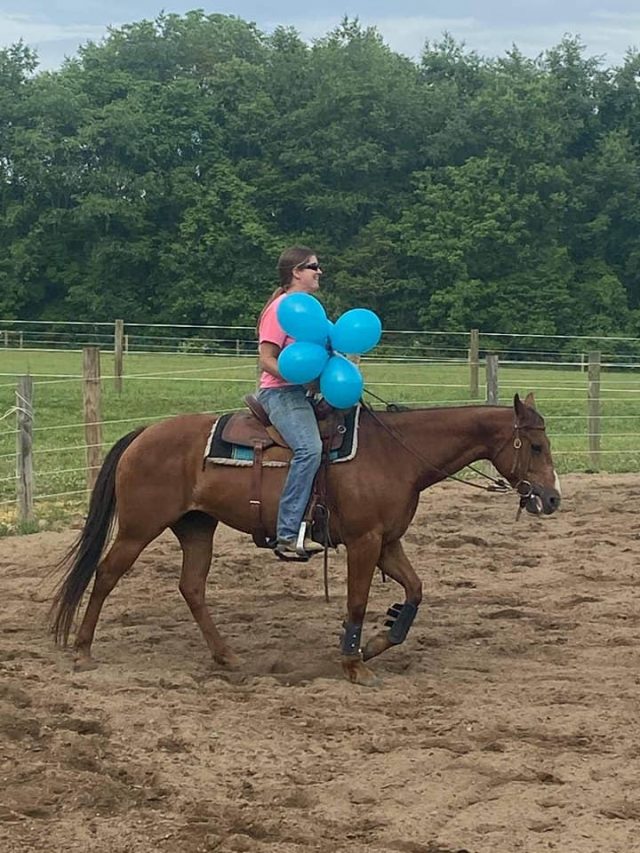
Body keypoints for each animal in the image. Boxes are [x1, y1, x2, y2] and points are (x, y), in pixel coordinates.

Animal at [50, 392, 561, 686]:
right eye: (536, 446)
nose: (552, 498)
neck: (396, 454)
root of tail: (143, 434)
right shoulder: (364, 542)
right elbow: (356, 602)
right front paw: (354, 662)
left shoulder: (388, 542)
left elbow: (415, 591)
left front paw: (378, 640)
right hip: (139, 527)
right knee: (105, 575)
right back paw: (83, 652)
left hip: (197, 527)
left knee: (191, 587)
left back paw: (227, 656)